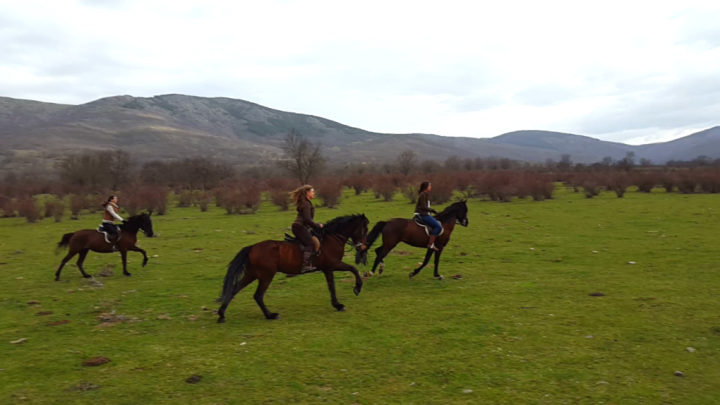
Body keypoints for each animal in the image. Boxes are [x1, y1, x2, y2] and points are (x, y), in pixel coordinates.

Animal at [217, 215, 368, 322]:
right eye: (364, 229)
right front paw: (357, 288)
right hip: (266, 275)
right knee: (258, 295)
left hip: (251, 274)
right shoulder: (333, 264)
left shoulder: (328, 269)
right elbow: (353, 269)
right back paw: (271, 315)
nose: (362, 248)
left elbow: (332, 286)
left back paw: (221, 315)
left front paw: (337, 305)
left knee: (235, 289)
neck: (332, 238)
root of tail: (253, 248)